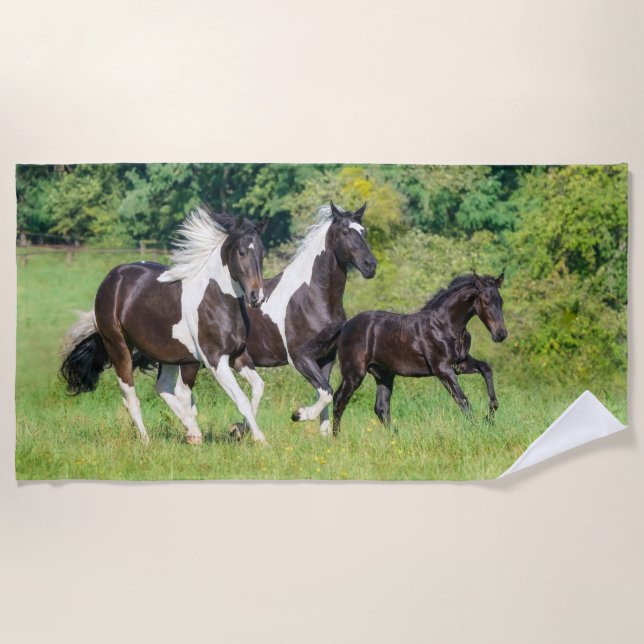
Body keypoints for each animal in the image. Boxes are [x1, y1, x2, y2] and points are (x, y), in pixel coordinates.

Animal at [59, 205, 269, 445]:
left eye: (262, 253)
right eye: (242, 252)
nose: (257, 296)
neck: (216, 300)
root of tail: (111, 278)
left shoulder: (238, 356)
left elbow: (257, 388)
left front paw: (238, 429)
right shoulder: (215, 360)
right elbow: (240, 398)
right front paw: (261, 440)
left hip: (170, 354)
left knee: (163, 387)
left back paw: (191, 431)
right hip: (119, 346)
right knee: (131, 396)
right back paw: (148, 440)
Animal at [230, 201, 377, 437]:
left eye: (363, 232)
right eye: (346, 232)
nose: (370, 266)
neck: (312, 297)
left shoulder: (326, 356)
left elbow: (324, 391)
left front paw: (325, 434)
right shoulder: (300, 357)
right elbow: (326, 392)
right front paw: (298, 415)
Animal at [332, 272, 508, 433]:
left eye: (501, 301)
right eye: (486, 301)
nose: (501, 334)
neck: (445, 325)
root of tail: (346, 326)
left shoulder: (461, 363)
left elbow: (486, 369)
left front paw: (489, 417)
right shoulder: (442, 369)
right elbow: (463, 400)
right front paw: (478, 429)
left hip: (384, 374)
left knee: (381, 407)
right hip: (354, 374)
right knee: (339, 400)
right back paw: (336, 438)